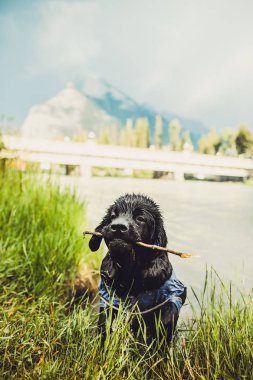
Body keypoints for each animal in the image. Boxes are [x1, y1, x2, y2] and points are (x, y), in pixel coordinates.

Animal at [89, 194, 186, 346]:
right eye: (113, 216)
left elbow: (166, 317)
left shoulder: (173, 295)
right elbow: (104, 325)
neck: (130, 274)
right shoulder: (109, 298)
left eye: (140, 218)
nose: (118, 227)